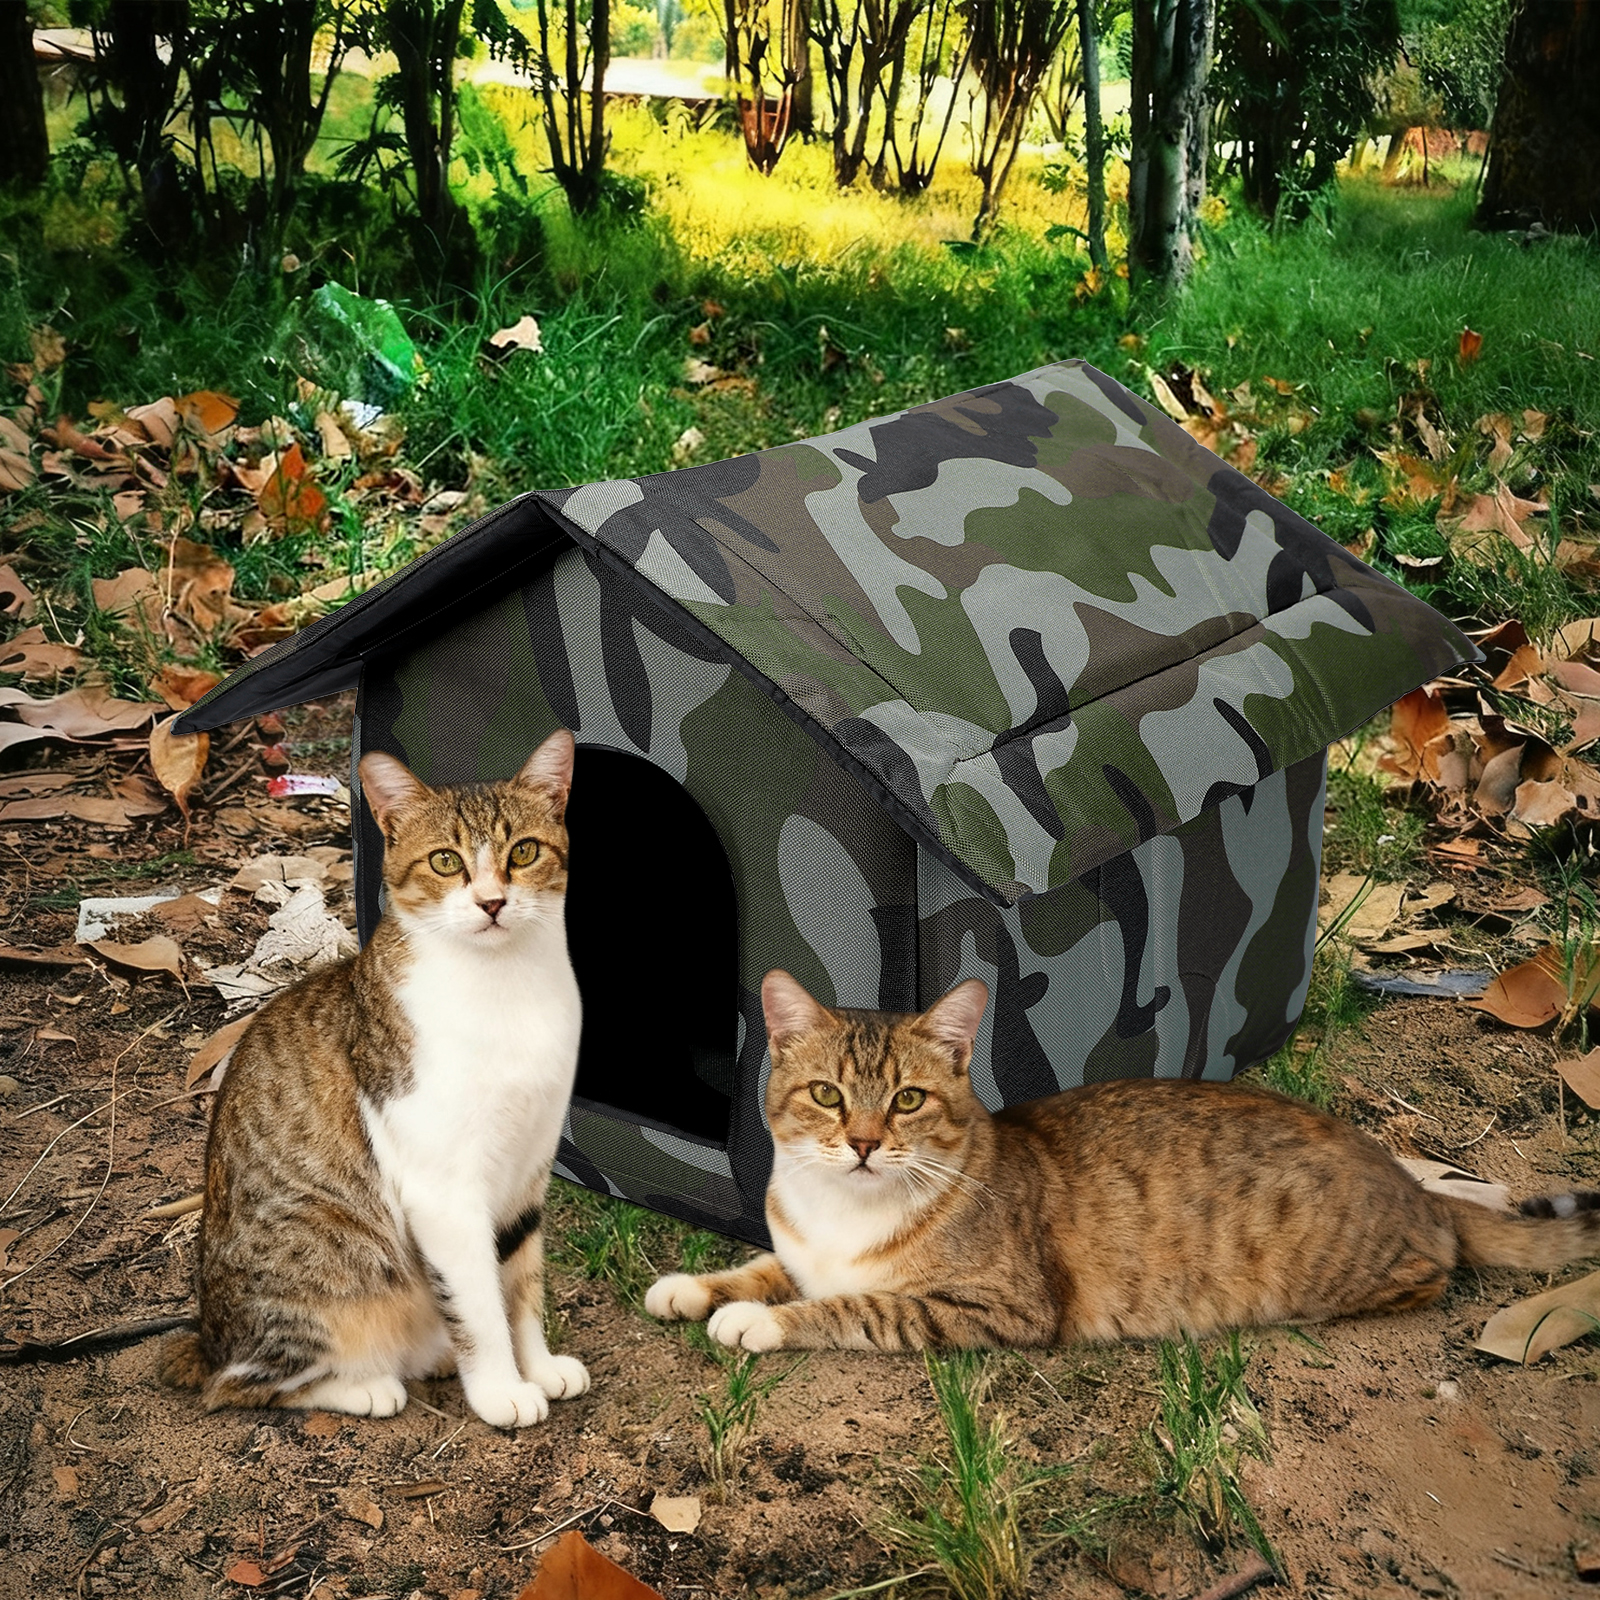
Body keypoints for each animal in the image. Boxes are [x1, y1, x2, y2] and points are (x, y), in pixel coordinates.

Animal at [162, 729, 589, 1426]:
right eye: (445, 861)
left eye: (523, 851)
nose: (493, 902)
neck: (504, 985)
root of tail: (207, 1338)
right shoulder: (443, 1189)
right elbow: (480, 1304)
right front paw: (501, 1389)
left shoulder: (528, 1171)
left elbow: (521, 1286)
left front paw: (539, 1366)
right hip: (330, 1254)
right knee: (240, 1384)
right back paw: (365, 1384)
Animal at [646, 971, 1600, 1352]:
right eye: (828, 1095)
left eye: (908, 1100)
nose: (865, 1142)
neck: (846, 1216)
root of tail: (1414, 1187)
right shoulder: (797, 1247)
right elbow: (764, 1264)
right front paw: (696, 1288)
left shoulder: (1000, 1308)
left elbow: (855, 1307)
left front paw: (758, 1322)